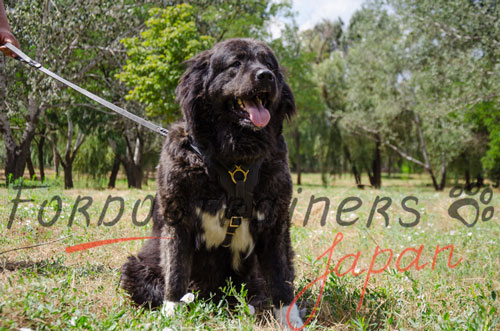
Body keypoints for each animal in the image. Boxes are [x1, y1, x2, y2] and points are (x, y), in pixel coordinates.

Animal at [119, 38, 302, 330]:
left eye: (268, 63)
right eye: (235, 63)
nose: (266, 76)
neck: (235, 158)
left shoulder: (275, 222)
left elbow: (281, 276)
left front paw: (289, 317)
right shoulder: (178, 221)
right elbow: (176, 271)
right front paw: (172, 313)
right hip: (135, 267)